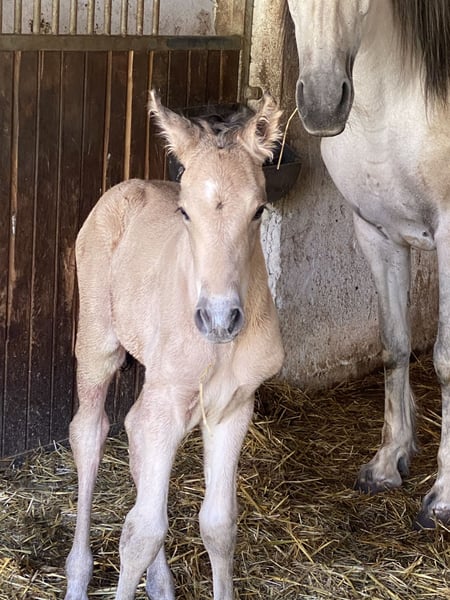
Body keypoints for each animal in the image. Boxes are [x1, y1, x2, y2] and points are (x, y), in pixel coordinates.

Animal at [64, 91, 284, 600]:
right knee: (90, 432)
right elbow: (140, 532)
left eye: (259, 210)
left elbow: (219, 526)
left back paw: (161, 582)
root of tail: (126, 187)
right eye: (185, 211)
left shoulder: (234, 407)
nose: (220, 319)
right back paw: (78, 576)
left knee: (132, 430)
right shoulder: (165, 405)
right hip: (98, 343)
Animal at [286, 0, 450, 527]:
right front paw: (387, 463)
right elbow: (393, 347)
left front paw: (443, 496)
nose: (321, 104)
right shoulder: (376, 235)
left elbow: (443, 361)